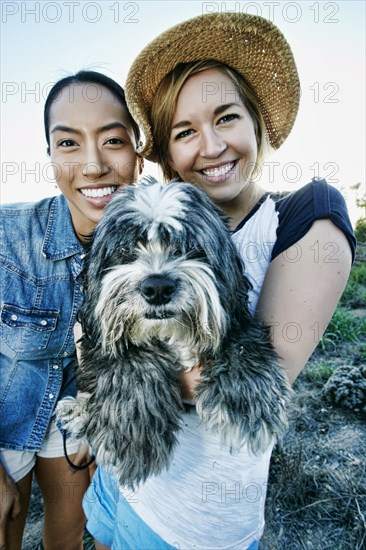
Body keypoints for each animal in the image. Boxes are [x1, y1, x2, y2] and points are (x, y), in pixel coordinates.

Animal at [57, 176, 292, 488]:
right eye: (125, 250)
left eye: (189, 247)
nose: (157, 287)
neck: (170, 334)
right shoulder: (96, 333)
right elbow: (129, 359)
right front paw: (133, 437)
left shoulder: (236, 315)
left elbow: (240, 340)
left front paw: (247, 400)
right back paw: (77, 412)